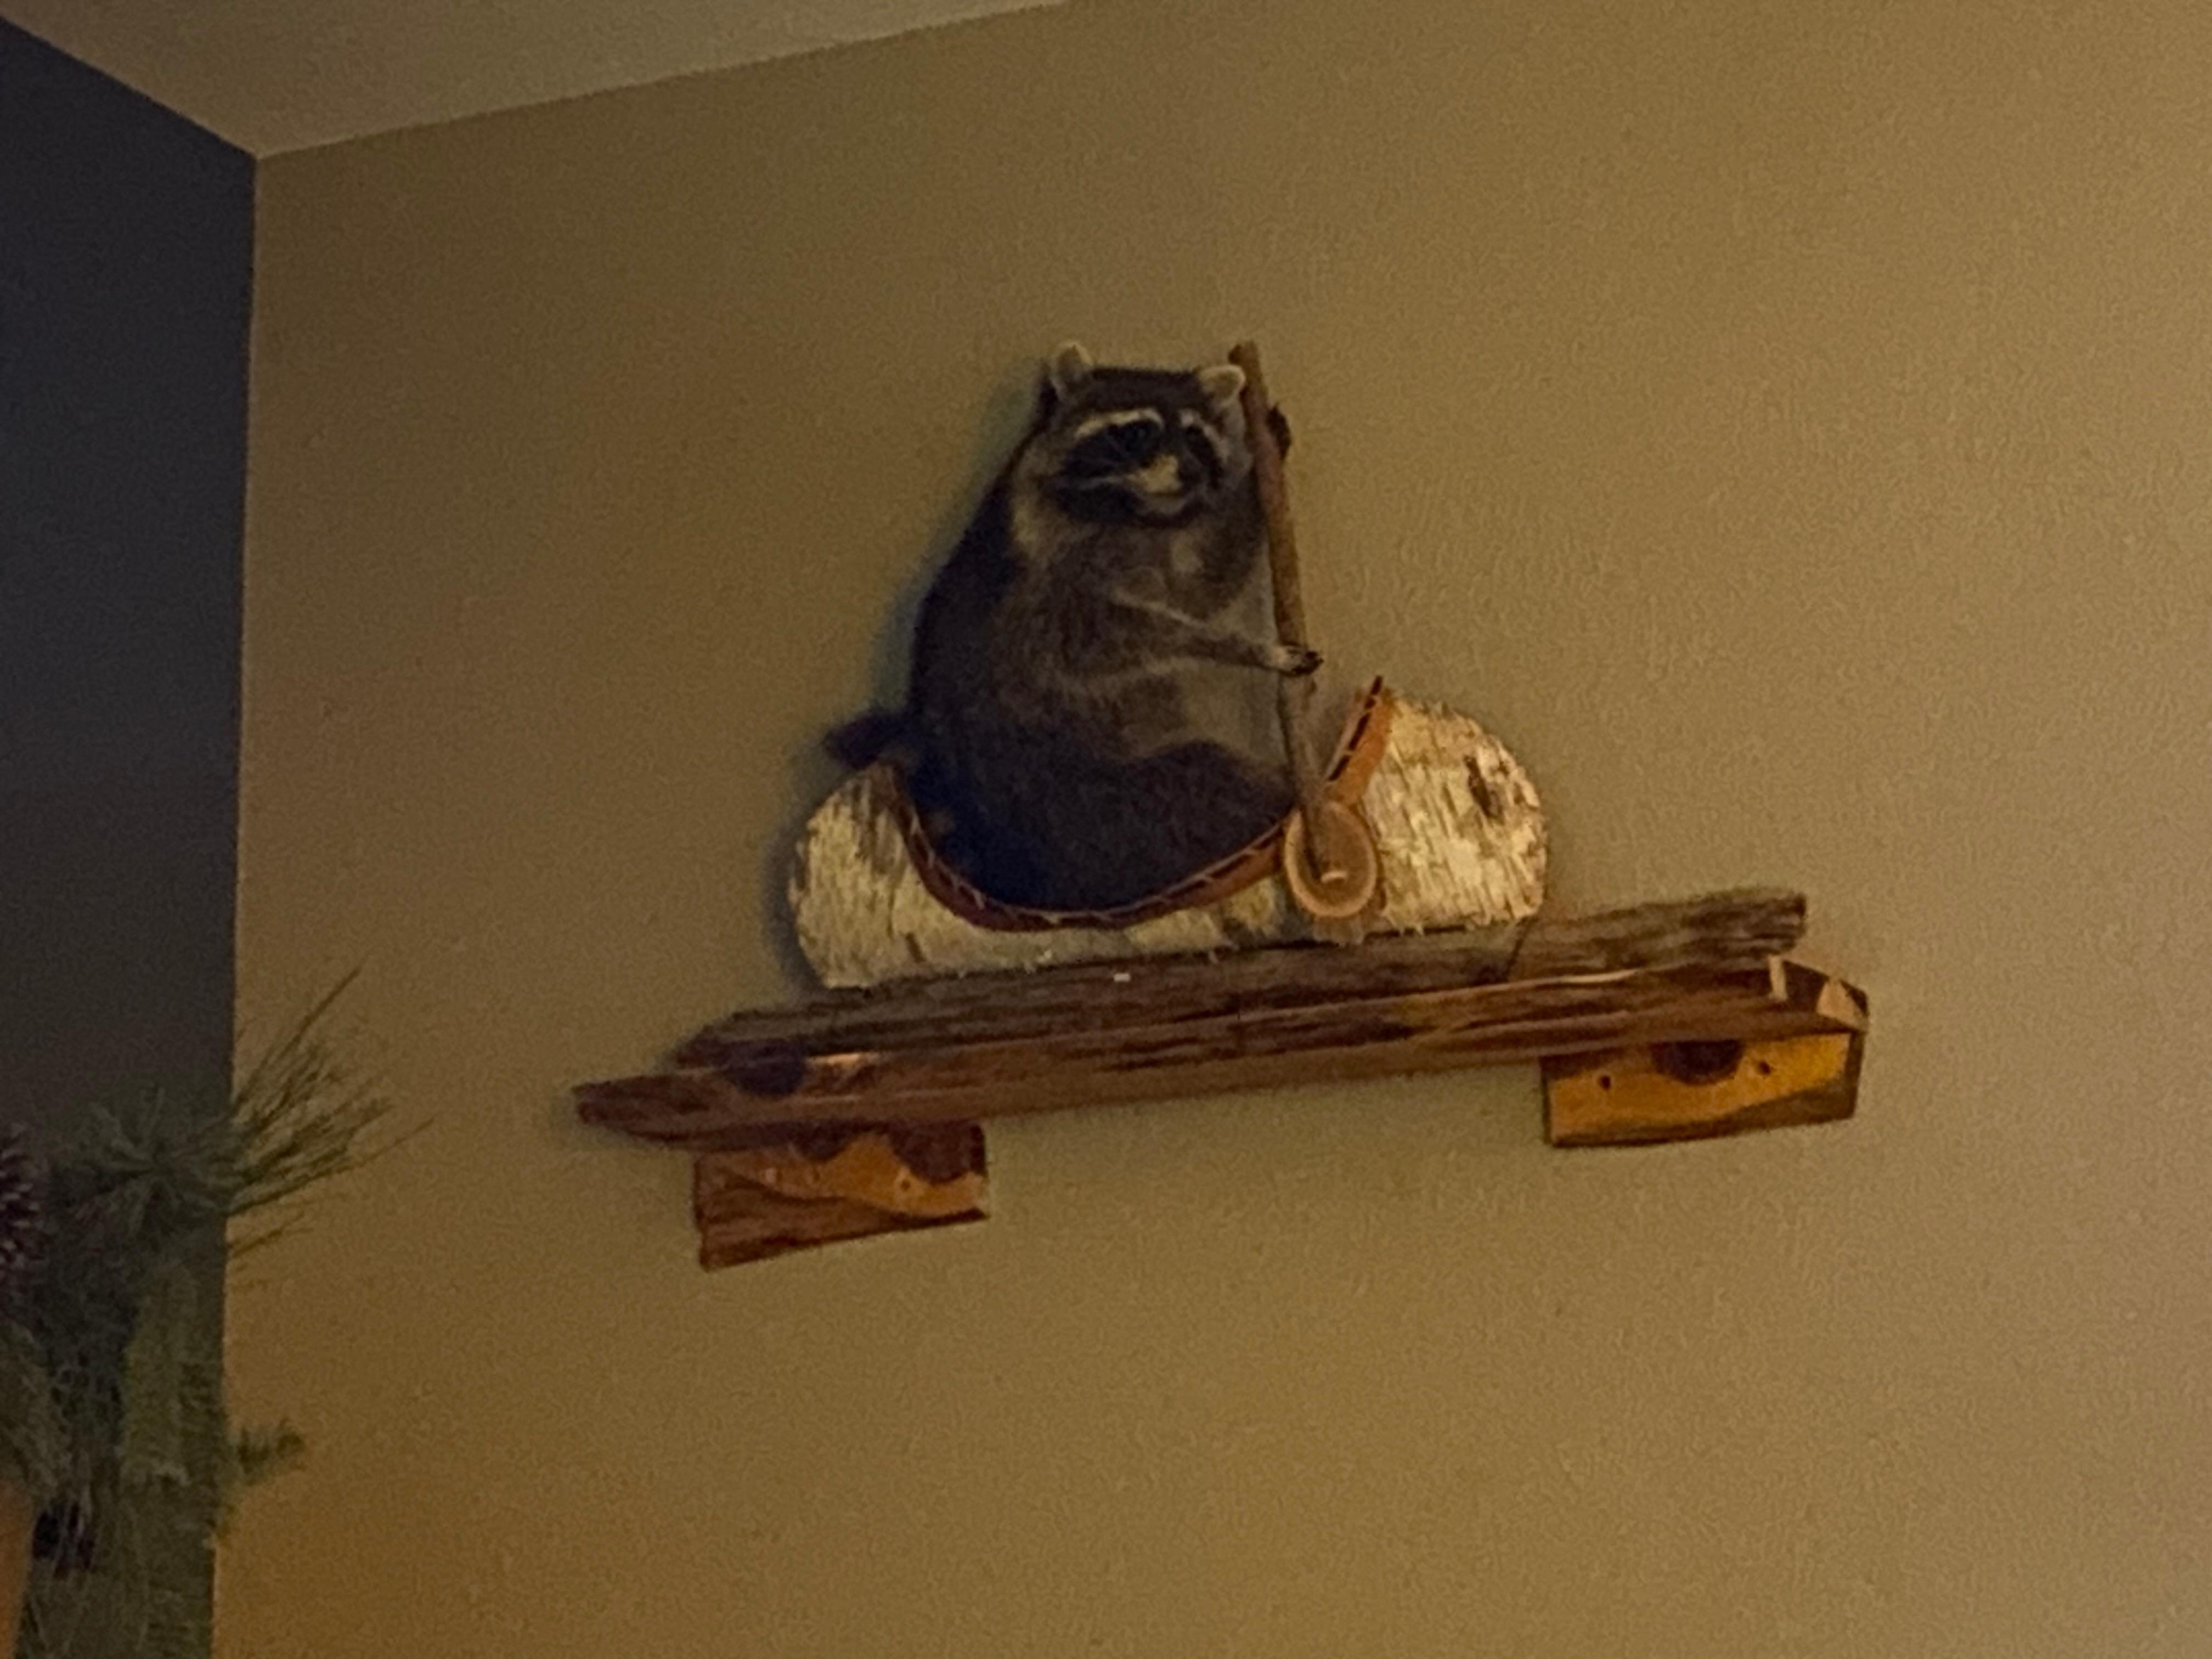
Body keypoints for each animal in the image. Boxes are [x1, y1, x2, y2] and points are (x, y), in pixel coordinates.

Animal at [842, 342, 1314, 912]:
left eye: (1197, 436)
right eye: (1139, 431)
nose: (1189, 474)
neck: (1135, 511)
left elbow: (1202, 588)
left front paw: (1258, 479)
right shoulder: (1045, 585)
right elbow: (1113, 639)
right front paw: (1240, 647)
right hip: (1095, 804)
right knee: (1211, 783)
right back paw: (1281, 799)